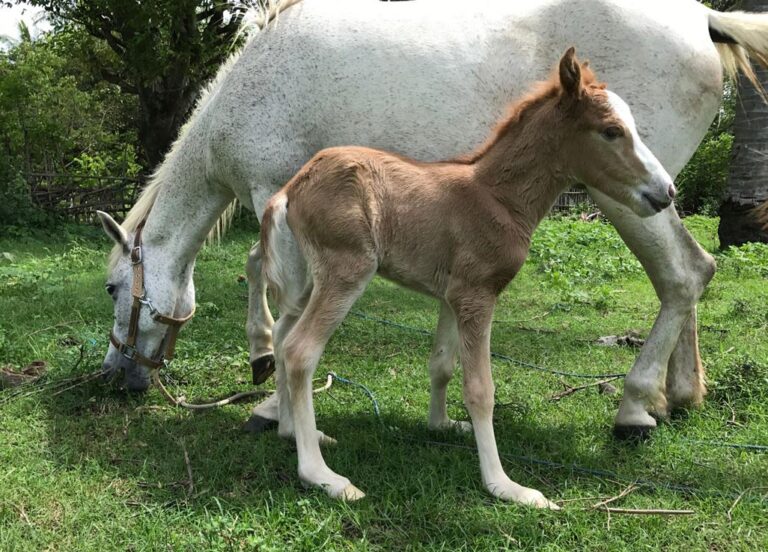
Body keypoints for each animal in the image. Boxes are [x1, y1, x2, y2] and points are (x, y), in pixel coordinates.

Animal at [97, 0, 768, 440]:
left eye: (111, 287)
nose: (114, 375)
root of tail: (701, 18)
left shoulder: (272, 193)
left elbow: (267, 274)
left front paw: (268, 378)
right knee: (690, 275)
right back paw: (677, 396)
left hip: (634, 197)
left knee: (681, 275)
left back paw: (632, 408)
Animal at [260, 49, 676, 506]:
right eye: (611, 131)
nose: (667, 191)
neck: (497, 198)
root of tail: (291, 189)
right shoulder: (478, 294)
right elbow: (481, 389)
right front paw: (504, 485)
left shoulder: (450, 294)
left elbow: (441, 364)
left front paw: (441, 425)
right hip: (346, 270)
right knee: (300, 350)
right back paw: (322, 475)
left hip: (306, 279)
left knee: (281, 336)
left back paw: (292, 431)